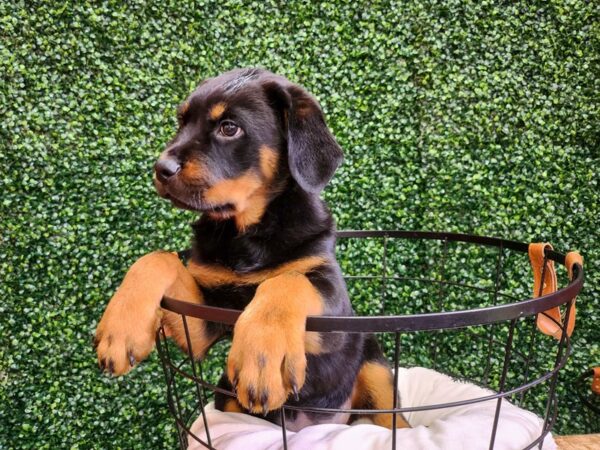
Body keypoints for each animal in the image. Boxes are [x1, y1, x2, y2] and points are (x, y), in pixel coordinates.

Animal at [95, 68, 412, 430]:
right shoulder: (204, 321)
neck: (246, 232)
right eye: (181, 121)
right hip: (226, 394)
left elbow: (287, 280)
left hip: (374, 366)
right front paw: (119, 330)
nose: (161, 169)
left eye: (229, 127)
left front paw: (261, 360)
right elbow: (158, 258)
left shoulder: (330, 313)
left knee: (396, 419)